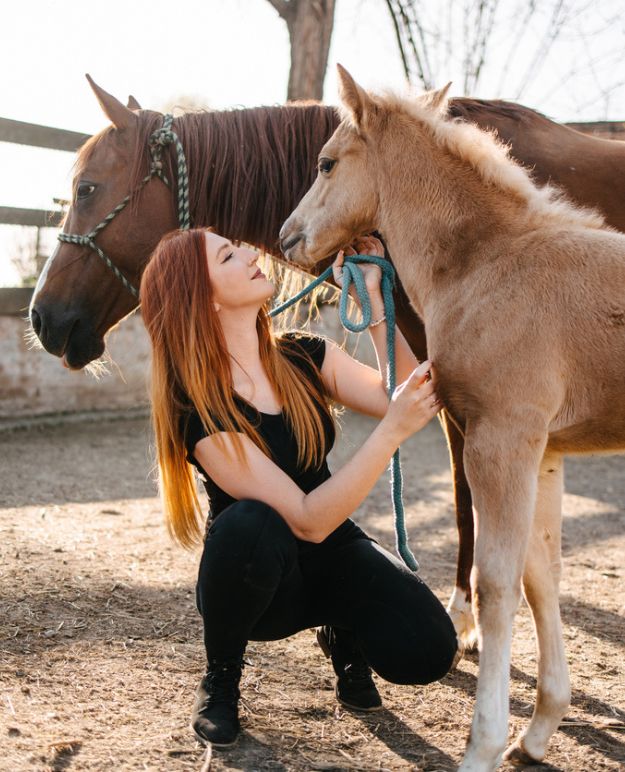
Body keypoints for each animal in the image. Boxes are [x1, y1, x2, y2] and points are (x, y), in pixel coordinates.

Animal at [280, 66, 624, 772]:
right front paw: (539, 730)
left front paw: (483, 746)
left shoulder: (501, 438)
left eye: (326, 163)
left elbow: (496, 586)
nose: (287, 237)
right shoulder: (543, 450)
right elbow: (541, 576)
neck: (490, 264)